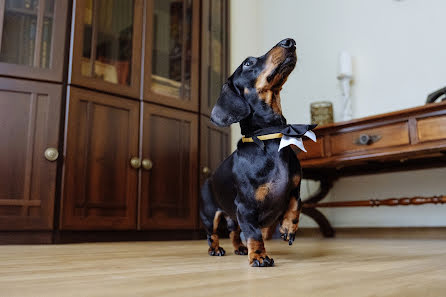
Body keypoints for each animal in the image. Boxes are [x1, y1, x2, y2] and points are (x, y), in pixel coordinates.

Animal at [200, 38, 316, 268]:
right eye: (247, 63)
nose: (289, 42)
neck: (268, 137)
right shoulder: (245, 207)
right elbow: (254, 234)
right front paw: (259, 256)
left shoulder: (295, 188)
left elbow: (295, 206)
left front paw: (287, 228)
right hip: (210, 214)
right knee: (213, 233)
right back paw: (216, 249)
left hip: (232, 216)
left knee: (234, 232)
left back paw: (240, 248)